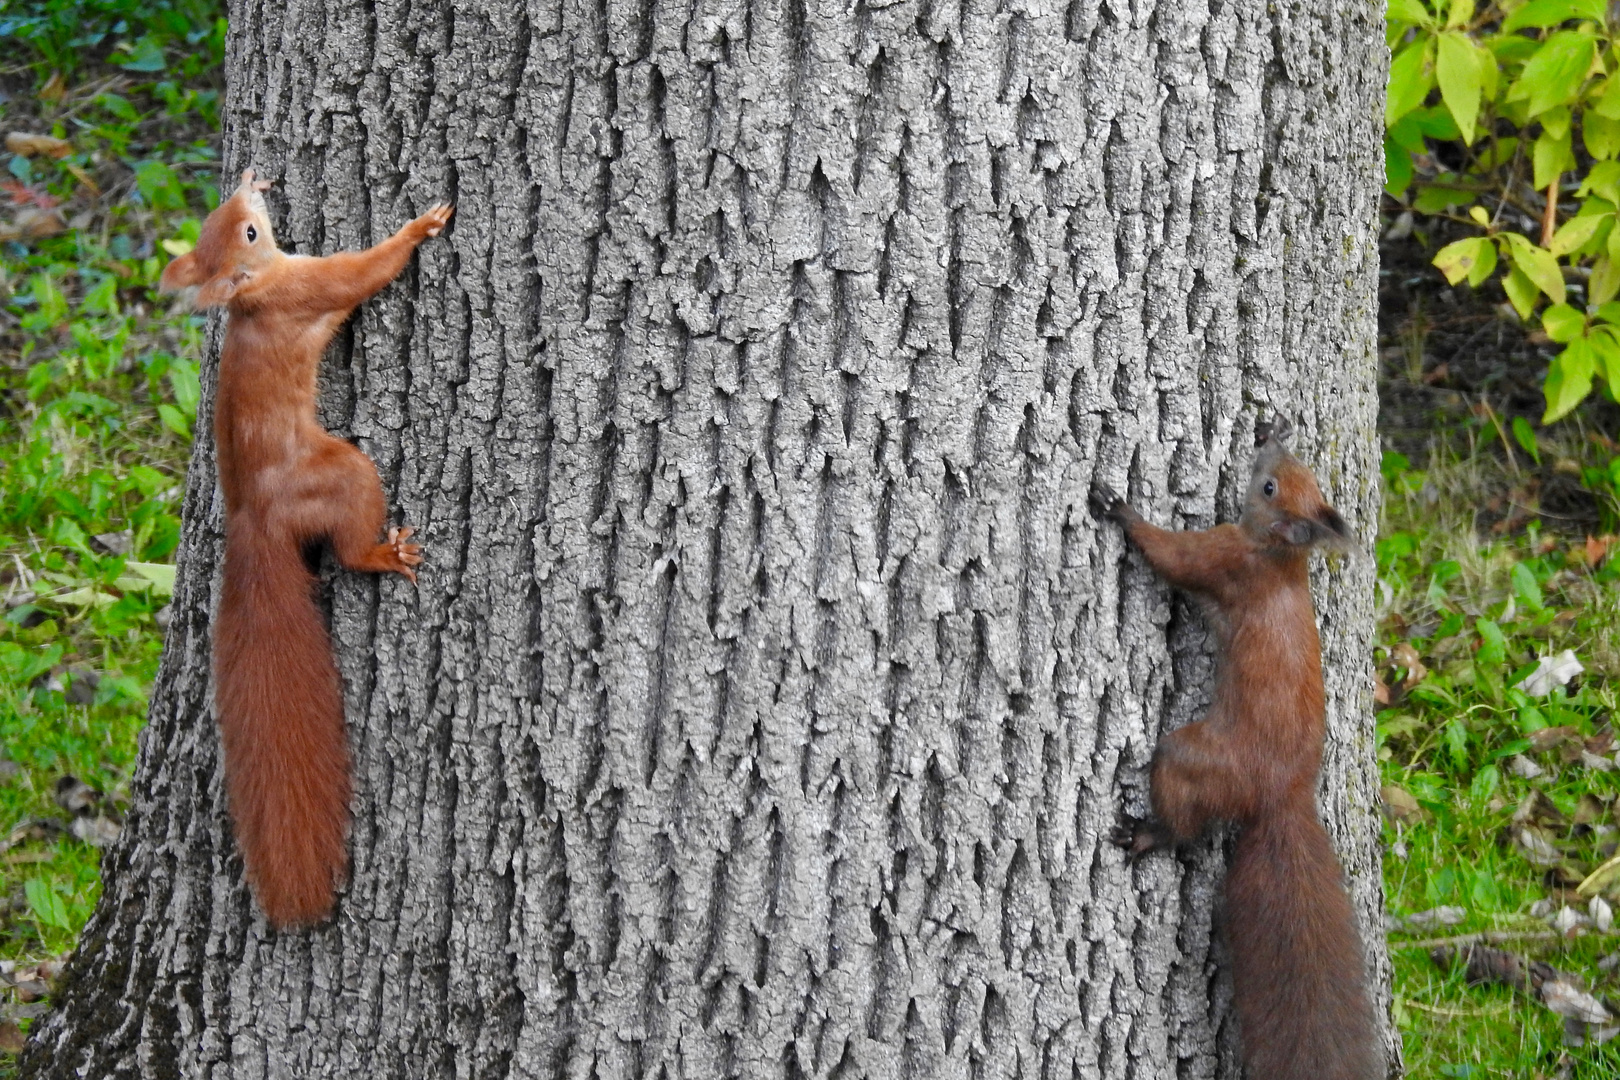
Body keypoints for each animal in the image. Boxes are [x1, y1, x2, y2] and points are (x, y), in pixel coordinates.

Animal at [162, 169, 453, 932]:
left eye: (224, 220)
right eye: (250, 232)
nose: (249, 188)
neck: (253, 294)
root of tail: (256, 522)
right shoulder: (311, 287)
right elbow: (363, 271)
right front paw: (419, 227)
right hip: (345, 474)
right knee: (348, 547)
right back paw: (384, 555)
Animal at [1095, 420, 1373, 1080]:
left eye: (1268, 488)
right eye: (1291, 473)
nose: (1268, 444)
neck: (1281, 561)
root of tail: (1281, 795)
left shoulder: (1222, 558)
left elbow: (1172, 555)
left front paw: (1120, 509)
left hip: (1193, 759)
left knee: (1184, 822)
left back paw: (1147, 833)